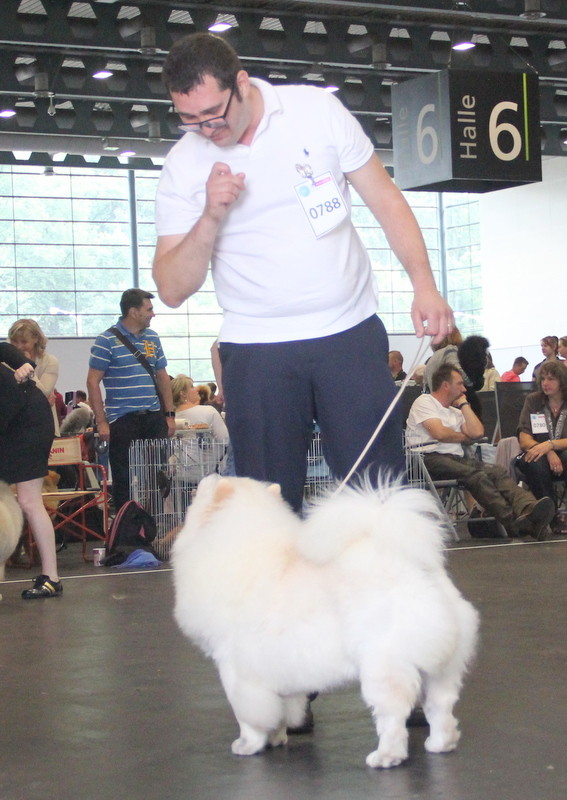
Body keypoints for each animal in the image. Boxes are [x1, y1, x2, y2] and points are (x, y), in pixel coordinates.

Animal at [172, 475, 479, 768]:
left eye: (205, 486)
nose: (201, 481)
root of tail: (418, 572)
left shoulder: (236, 668)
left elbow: (247, 714)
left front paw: (247, 745)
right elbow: (281, 709)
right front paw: (277, 738)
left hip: (383, 667)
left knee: (393, 716)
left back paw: (385, 757)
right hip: (441, 669)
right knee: (440, 708)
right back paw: (440, 744)